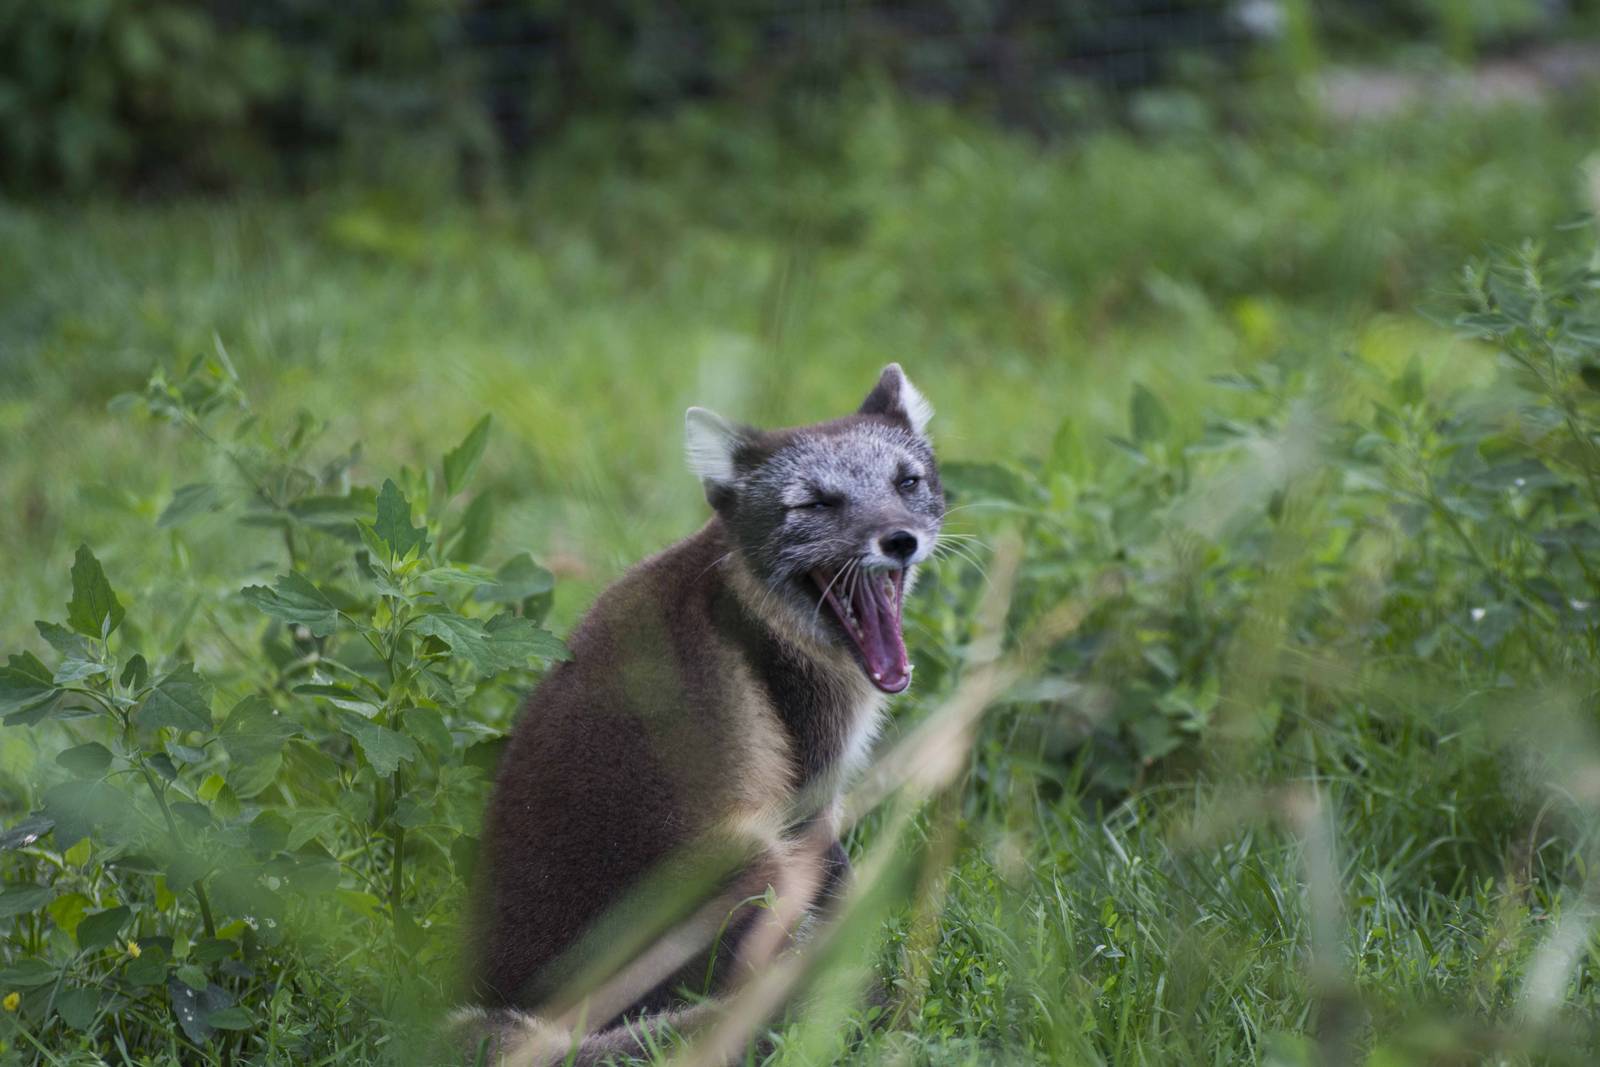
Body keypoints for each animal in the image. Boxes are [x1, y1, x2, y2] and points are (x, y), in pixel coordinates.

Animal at [457, 364, 944, 1065]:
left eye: (908, 482)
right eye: (816, 504)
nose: (900, 539)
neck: (751, 606)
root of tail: (532, 1017)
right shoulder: (810, 790)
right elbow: (841, 892)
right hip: (748, 862)